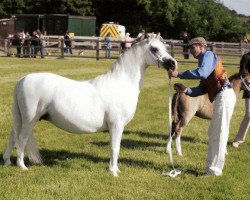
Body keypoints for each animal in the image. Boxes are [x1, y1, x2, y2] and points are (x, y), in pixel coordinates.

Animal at [2, 33, 177, 176]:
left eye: (165, 47)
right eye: (155, 49)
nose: (173, 64)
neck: (122, 83)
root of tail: (22, 80)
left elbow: (116, 148)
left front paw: (116, 170)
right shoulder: (116, 125)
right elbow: (115, 148)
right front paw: (113, 172)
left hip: (21, 119)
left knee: (13, 136)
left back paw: (7, 161)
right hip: (29, 119)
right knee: (22, 138)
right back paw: (21, 166)